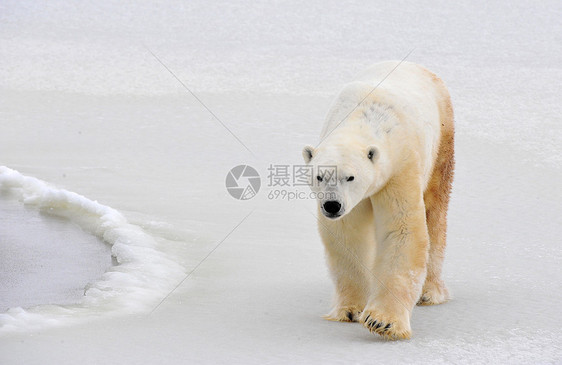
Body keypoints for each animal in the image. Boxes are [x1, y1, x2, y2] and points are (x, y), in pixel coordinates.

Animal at [300, 61, 452, 340]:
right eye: (319, 175)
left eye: (350, 176)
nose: (331, 205)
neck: (362, 118)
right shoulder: (353, 202)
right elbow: (348, 235)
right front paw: (351, 309)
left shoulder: (400, 167)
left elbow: (402, 230)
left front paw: (383, 322)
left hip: (442, 138)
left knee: (435, 209)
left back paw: (430, 293)